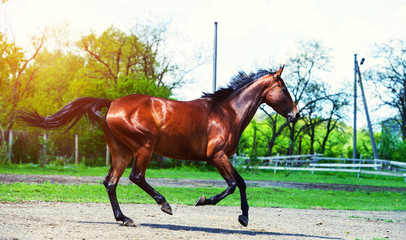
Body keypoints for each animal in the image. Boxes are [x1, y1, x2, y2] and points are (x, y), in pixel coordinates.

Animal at [17, 66, 298, 227]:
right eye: (283, 87)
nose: (295, 114)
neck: (226, 112)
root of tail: (112, 103)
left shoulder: (223, 157)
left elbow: (240, 183)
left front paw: (244, 217)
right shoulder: (217, 156)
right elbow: (233, 185)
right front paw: (205, 202)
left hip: (122, 151)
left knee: (111, 182)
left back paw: (124, 218)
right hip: (144, 147)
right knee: (136, 176)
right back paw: (164, 205)